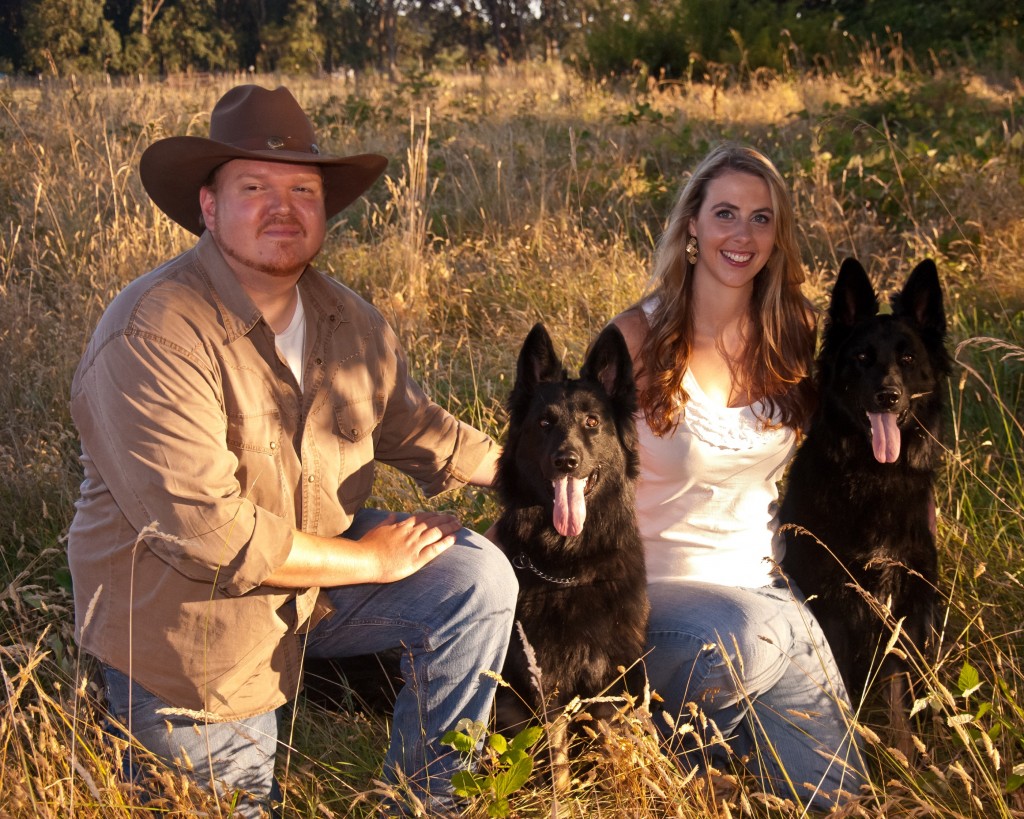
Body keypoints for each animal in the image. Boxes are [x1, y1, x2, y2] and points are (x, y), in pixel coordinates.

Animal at [495, 323, 647, 782]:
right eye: (544, 423)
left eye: (592, 422)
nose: (567, 461)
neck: (569, 568)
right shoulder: (547, 682)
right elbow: (557, 761)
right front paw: (562, 793)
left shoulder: (609, 682)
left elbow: (611, 747)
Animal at [782, 257, 950, 749]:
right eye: (861, 359)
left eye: (908, 359)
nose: (887, 396)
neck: (873, 476)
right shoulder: (833, 594)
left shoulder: (902, 600)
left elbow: (896, 695)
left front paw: (904, 755)